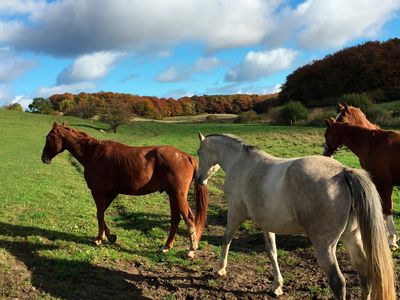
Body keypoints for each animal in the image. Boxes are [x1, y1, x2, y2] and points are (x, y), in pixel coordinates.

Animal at [41, 122, 209, 258]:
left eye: (49, 137)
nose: (43, 158)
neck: (93, 153)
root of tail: (186, 157)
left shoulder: (98, 192)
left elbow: (100, 214)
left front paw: (99, 239)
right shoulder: (111, 192)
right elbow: (101, 213)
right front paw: (110, 236)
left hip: (177, 195)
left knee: (190, 219)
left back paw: (191, 250)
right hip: (172, 195)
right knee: (176, 219)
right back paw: (166, 247)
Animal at [195, 134, 396, 300]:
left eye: (198, 152)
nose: (198, 179)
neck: (240, 162)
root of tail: (344, 172)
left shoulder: (236, 213)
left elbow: (226, 239)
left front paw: (220, 269)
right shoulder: (267, 224)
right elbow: (272, 252)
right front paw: (277, 286)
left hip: (325, 245)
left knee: (338, 281)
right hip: (351, 237)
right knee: (364, 274)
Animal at [324, 118, 398, 250]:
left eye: (327, 135)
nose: (325, 153)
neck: (373, 144)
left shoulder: (385, 184)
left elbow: (387, 209)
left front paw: (392, 239)